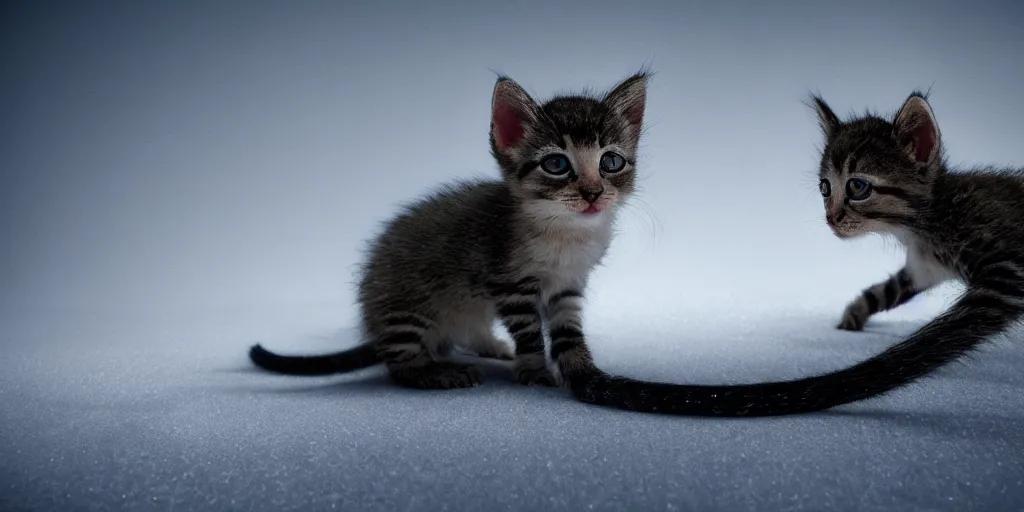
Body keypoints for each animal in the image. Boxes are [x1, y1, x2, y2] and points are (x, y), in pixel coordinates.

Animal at [248, 72, 647, 389]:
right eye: (557, 165)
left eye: (611, 162)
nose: (592, 193)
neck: (565, 234)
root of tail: (375, 324)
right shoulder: (510, 285)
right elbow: (531, 335)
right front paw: (535, 371)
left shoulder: (568, 286)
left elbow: (568, 332)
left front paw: (582, 367)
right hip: (410, 308)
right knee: (401, 365)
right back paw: (437, 373)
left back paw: (488, 345)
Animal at [569, 91, 1024, 415]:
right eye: (825, 188)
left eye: (857, 187)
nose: (831, 218)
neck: (930, 219)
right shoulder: (923, 266)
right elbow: (886, 290)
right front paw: (854, 316)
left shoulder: (1004, 275)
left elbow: (931, 342)